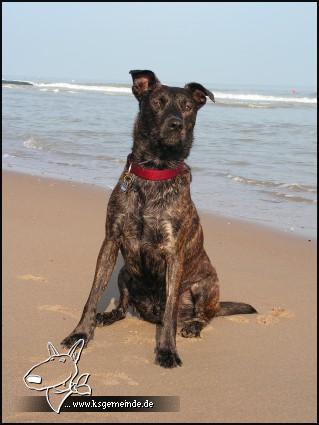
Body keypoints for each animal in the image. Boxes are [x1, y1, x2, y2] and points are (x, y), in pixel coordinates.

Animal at [62, 70, 258, 368]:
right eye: (158, 102)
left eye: (188, 106)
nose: (176, 124)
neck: (155, 172)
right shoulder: (110, 242)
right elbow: (93, 294)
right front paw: (81, 333)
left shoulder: (173, 254)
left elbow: (169, 313)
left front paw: (166, 350)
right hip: (125, 272)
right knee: (123, 306)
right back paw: (109, 315)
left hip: (206, 284)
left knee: (203, 315)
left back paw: (193, 325)